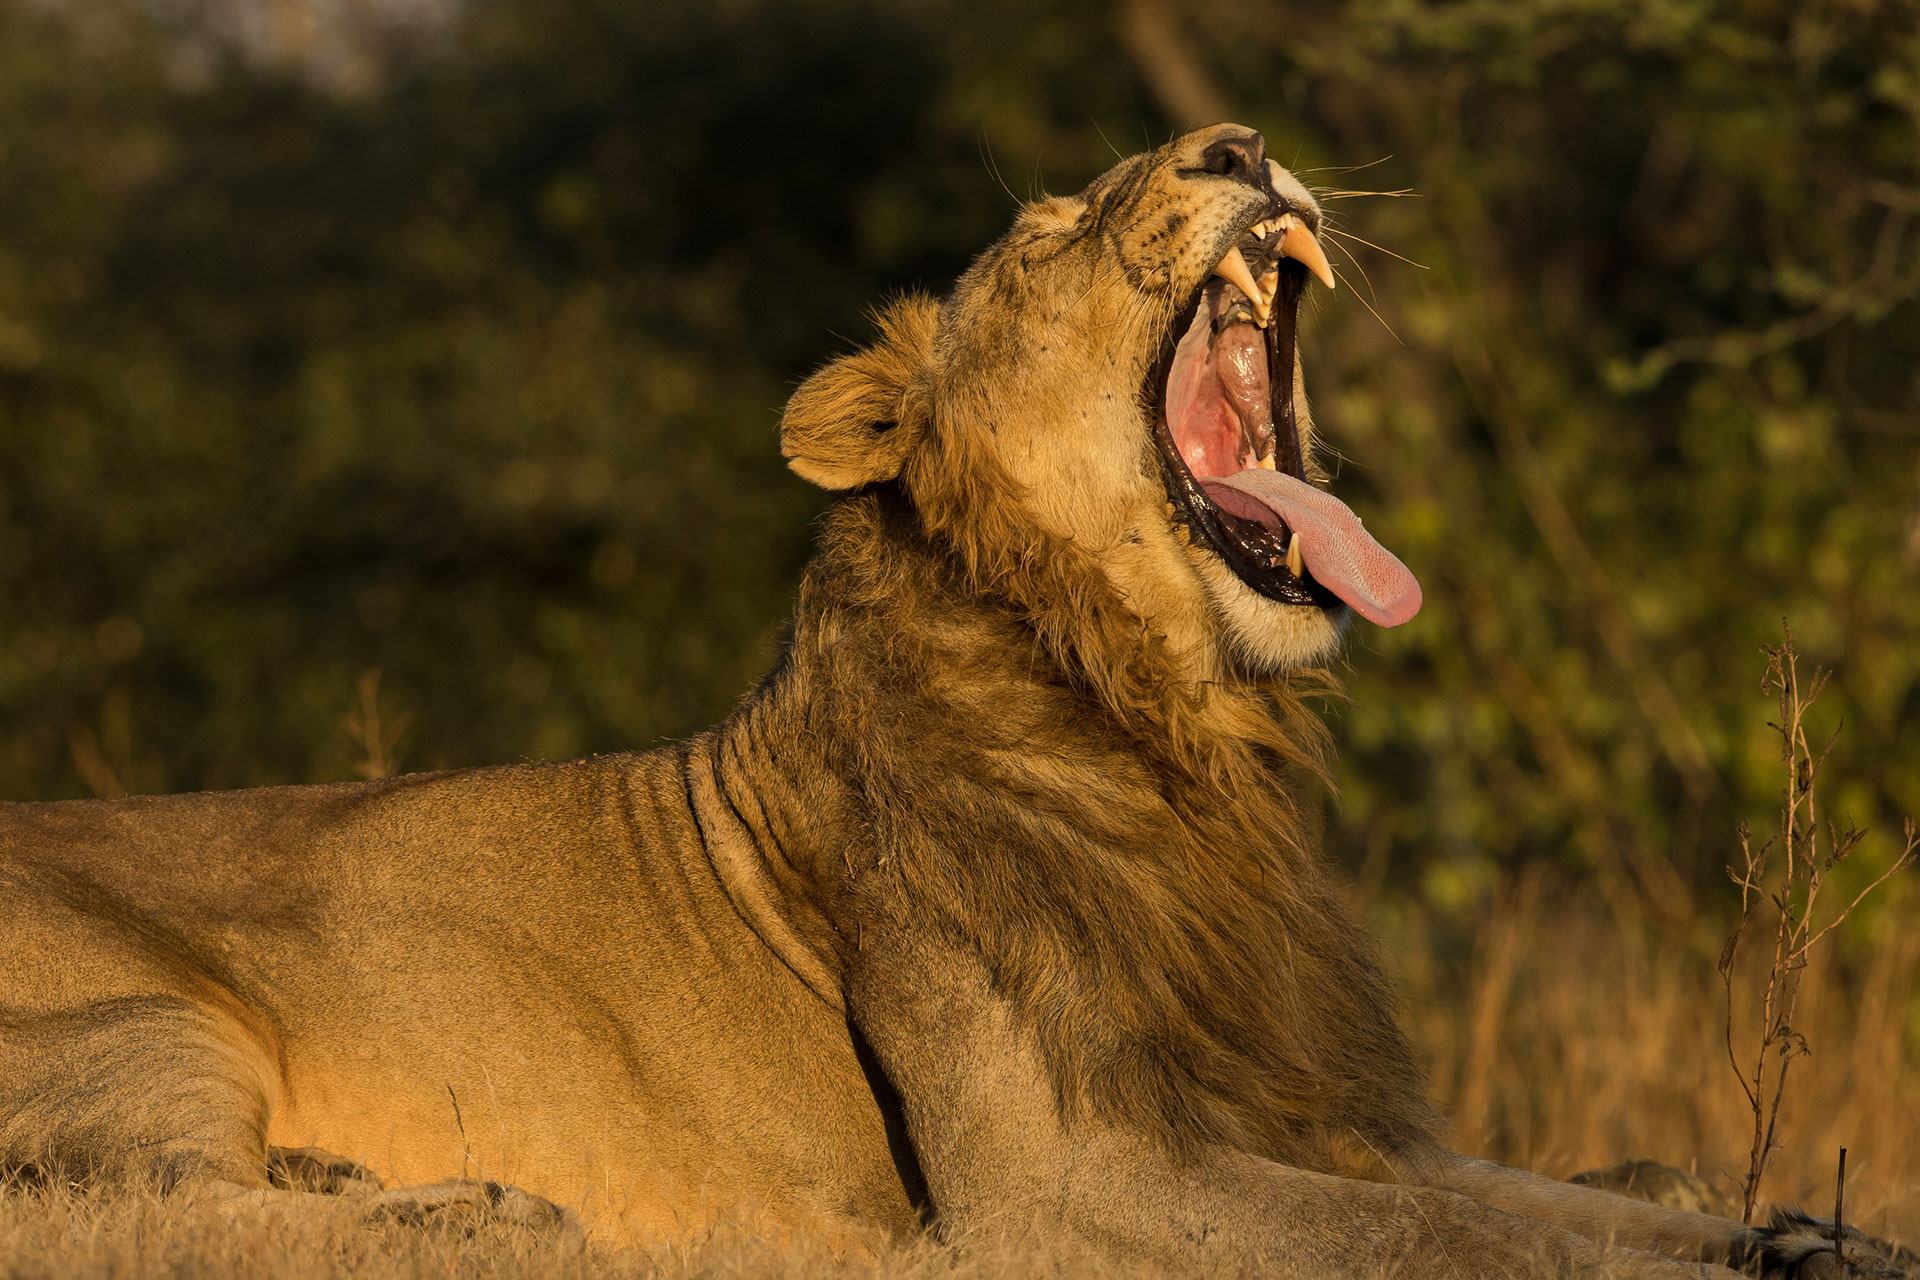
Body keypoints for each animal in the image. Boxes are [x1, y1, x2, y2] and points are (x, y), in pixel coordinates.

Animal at [0, 124, 1904, 1277]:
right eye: (1051, 234)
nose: (1237, 145)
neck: (1179, 734)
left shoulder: (1329, 1112)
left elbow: (1599, 1196)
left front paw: (1814, 1231)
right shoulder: (1056, 1187)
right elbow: (1474, 1247)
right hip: (152, 1023)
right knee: (149, 1214)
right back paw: (482, 1218)